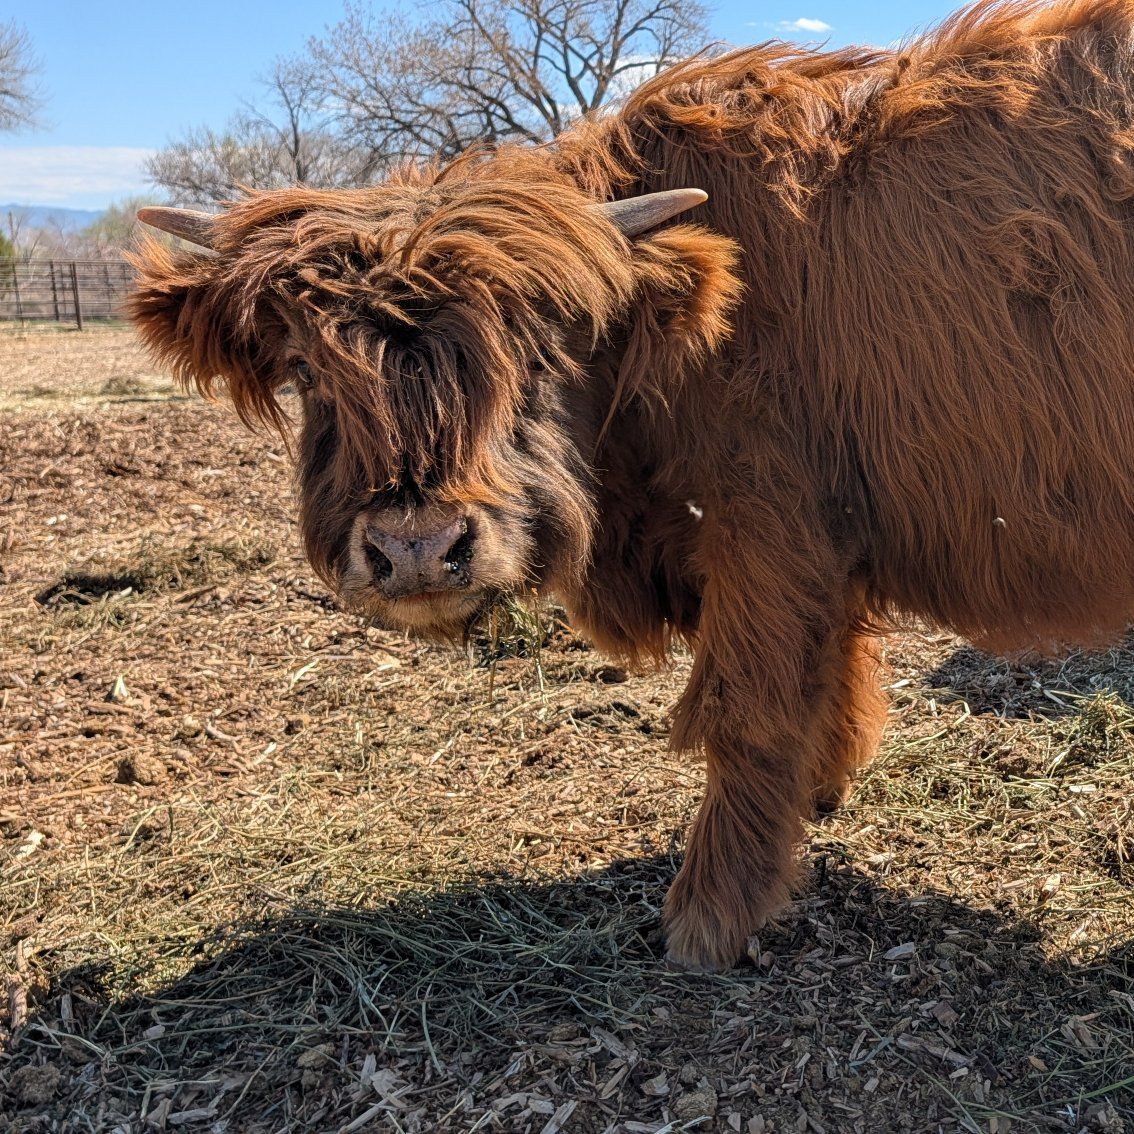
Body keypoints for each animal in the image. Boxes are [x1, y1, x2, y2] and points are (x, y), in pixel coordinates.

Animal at [130, 0, 1134, 971]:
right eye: (308, 372)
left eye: (538, 356)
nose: (416, 548)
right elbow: (833, 685)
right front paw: (821, 797)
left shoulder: (766, 531)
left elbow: (746, 711)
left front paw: (707, 918)